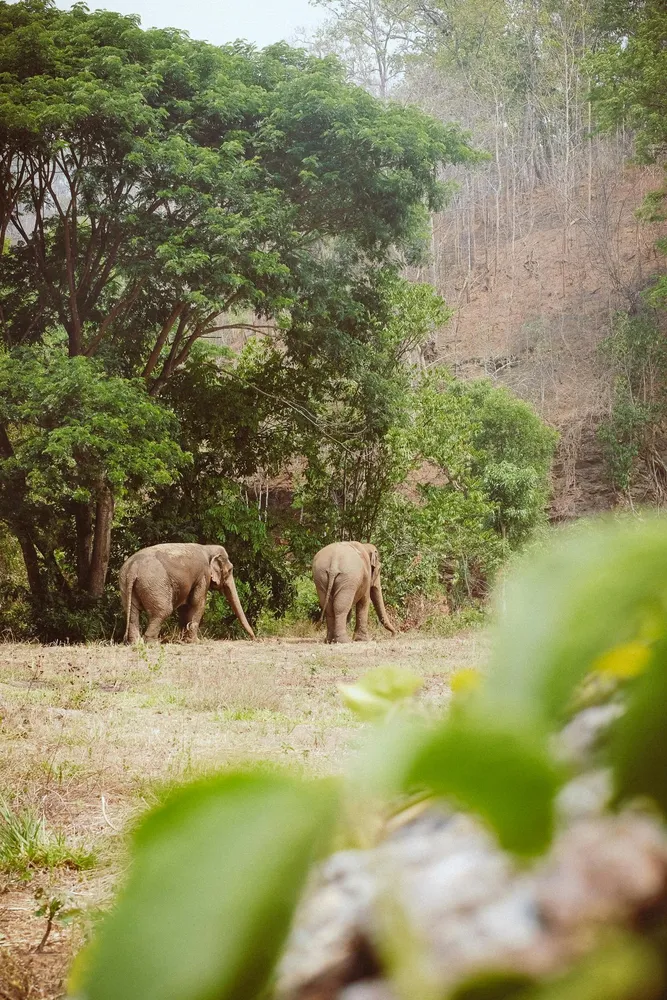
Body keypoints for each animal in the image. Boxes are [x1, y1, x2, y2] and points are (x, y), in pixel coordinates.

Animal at [119, 543, 255, 643]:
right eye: (231, 570)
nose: (254, 638)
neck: (207, 547)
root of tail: (133, 567)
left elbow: (184, 606)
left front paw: (183, 640)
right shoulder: (203, 575)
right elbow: (197, 603)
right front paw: (195, 641)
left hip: (125, 585)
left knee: (132, 612)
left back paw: (136, 643)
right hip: (154, 584)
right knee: (163, 611)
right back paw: (153, 643)